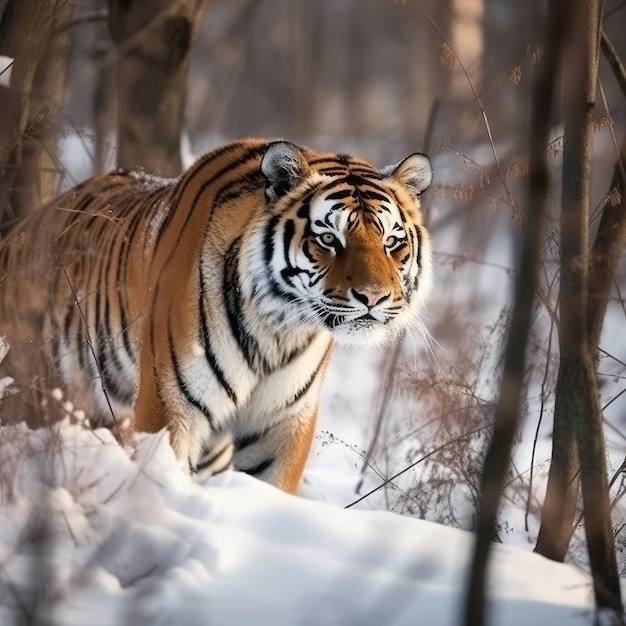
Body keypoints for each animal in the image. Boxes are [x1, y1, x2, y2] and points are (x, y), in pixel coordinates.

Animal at [0, 138, 428, 492]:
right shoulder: (168, 404)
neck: (279, 327)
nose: (374, 296)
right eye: (328, 239)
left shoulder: (282, 421)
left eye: (392, 242)